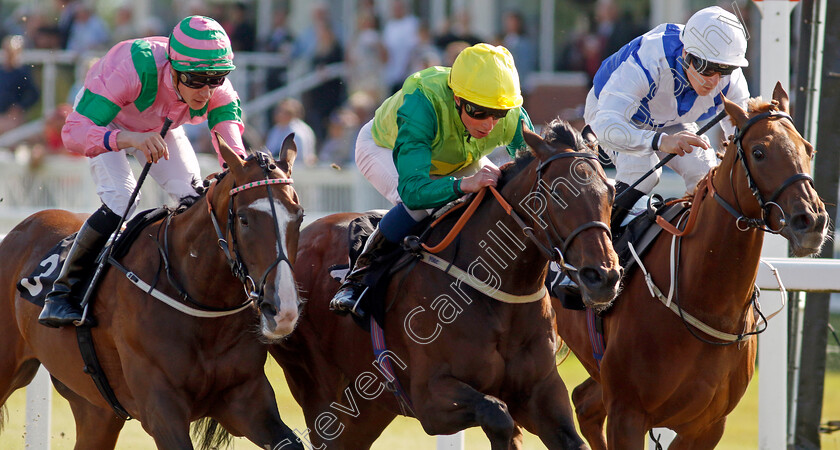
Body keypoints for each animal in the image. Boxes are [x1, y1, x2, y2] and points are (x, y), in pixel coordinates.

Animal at [0, 135, 308, 448]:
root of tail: (23, 227)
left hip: (96, 408)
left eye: (299, 216)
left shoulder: (247, 400)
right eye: (244, 219)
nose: (283, 310)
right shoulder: (161, 410)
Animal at [272, 119, 620, 450]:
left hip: (368, 409)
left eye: (611, 192)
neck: (497, 295)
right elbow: (497, 415)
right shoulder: (430, 399)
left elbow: (567, 438)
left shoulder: (542, 394)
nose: (603, 277)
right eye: (558, 194)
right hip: (321, 393)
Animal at [556, 82, 832, 448]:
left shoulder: (706, 425)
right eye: (759, 152)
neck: (705, 301)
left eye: (809, 149)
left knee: (584, 403)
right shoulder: (627, 415)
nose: (812, 221)